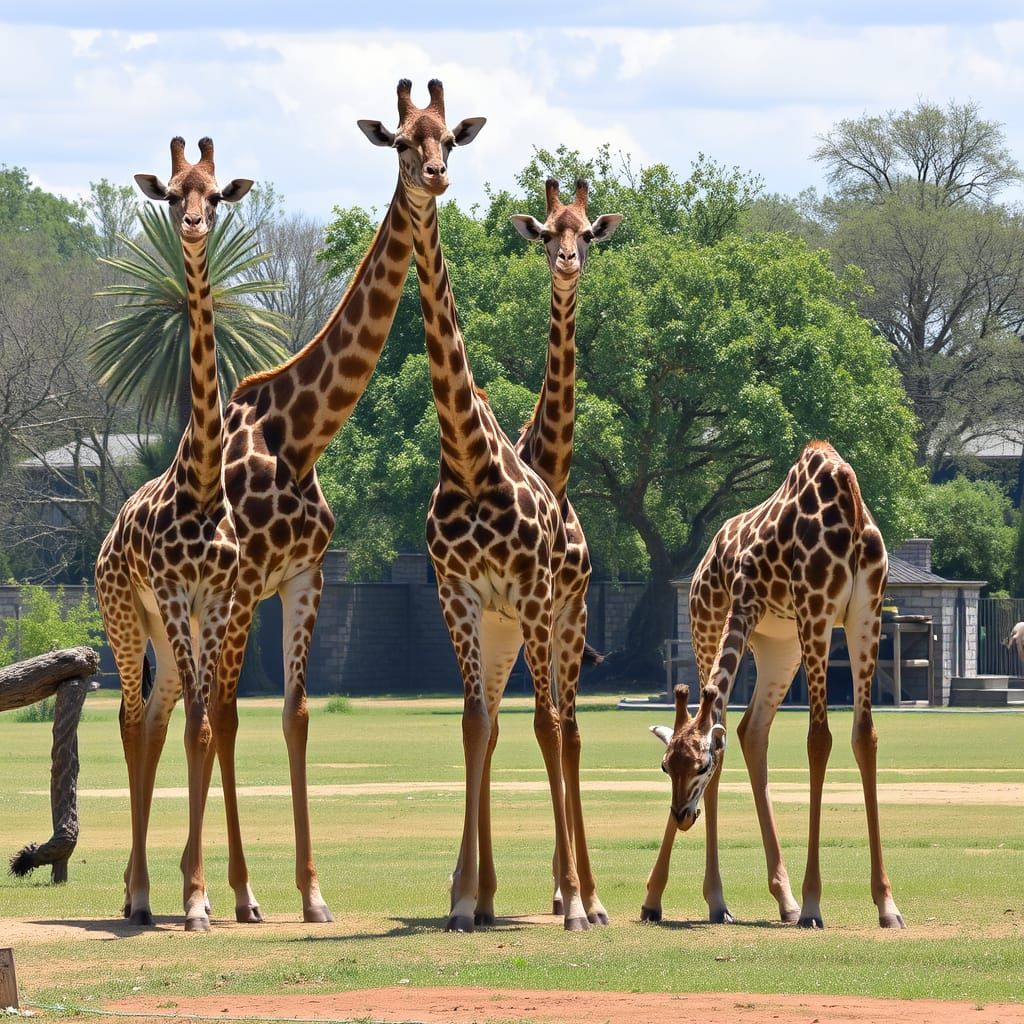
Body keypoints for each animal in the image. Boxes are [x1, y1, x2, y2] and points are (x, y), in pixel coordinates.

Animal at [195, 78, 480, 926]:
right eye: (402, 142)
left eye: (449, 137)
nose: (434, 177)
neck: (298, 434)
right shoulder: (244, 581)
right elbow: (229, 715)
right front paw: (245, 892)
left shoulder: (304, 575)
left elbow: (295, 714)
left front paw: (313, 895)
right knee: (193, 710)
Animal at [361, 80, 597, 933]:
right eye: (402, 139)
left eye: (449, 139)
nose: (434, 176)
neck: (469, 460)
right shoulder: (458, 594)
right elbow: (472, 725)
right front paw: (465, 897)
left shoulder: (535, 593)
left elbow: (548, 727)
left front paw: (572, 901)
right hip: (501, 631)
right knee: (497, 724)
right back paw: (493, 892)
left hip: (559, 620)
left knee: (566, 727)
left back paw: (586, 896)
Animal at [641, 441, 905, 929]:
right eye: (666, 768)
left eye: (698, 767)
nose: (683, 815)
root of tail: (704, 558)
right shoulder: (805, 608)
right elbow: (818, 739)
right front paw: (815, 903)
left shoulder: (865, 610)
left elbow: (859, 738)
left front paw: (886, 904)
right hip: (708, 621)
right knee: (726, 719)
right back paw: (693, 899)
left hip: (781, 646)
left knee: (749, 729)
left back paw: (781, 899)